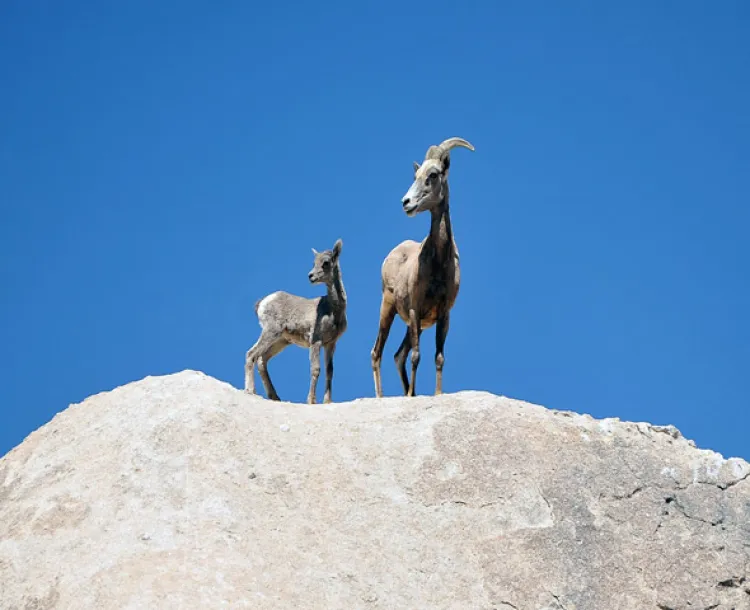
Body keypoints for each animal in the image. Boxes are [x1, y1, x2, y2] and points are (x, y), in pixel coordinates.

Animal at [250, 239, 350, 404]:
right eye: (314, 262)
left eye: (326, 262)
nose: (311, 276)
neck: (332, 309)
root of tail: (263, 302)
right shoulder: (315, 341)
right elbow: (315, 370)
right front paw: (311, 401)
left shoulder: (331, 344)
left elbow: (330, 371)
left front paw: (327, 401)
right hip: (271, 332)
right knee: (251, 354)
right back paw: (250, 391)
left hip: (281, 341)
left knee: (262, 360)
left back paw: (275, 397)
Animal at [372, 135, 476, 396]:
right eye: (416, 175)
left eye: (433, 175)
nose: (406, 203)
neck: (438, 264)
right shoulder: (415, 309)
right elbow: (416, 357)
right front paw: (411, 395)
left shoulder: (443, 314)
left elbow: (438, 357)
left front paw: (436, 394)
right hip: (388, 309)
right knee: (377, 353)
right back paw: (382, 396)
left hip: (412, 325)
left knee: (397, 355)